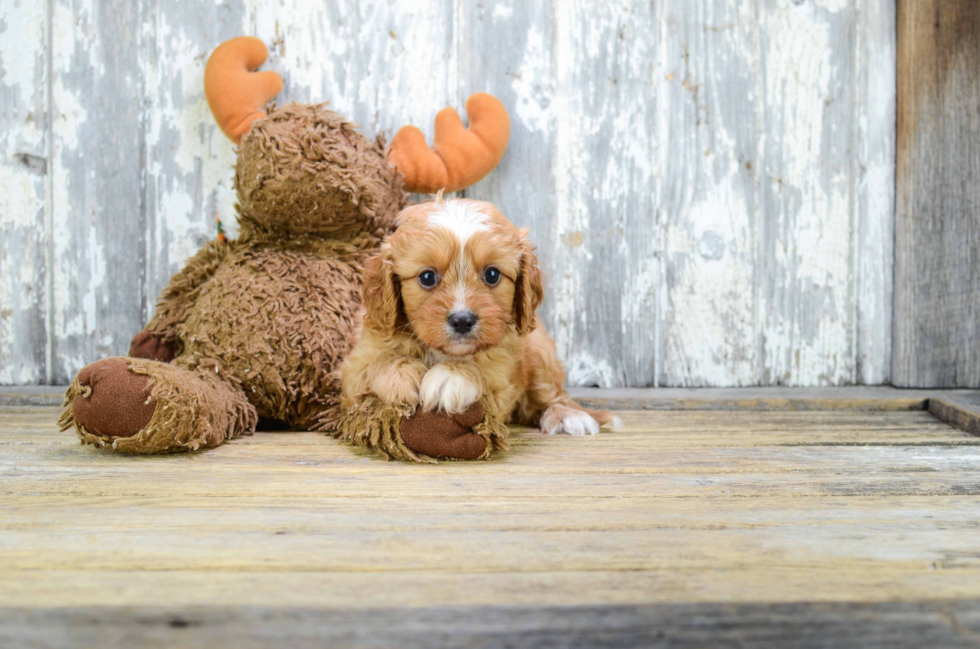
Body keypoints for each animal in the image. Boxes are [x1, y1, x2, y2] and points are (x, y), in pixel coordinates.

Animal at [344, 192, 616, 456]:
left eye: (492, 275)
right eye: (427, 277)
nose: (462, 321)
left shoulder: (502, 377)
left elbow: (480, 375)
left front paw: (449, 377)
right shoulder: (353, 369)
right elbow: (375, 364)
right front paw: (400, 376)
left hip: (540, 352)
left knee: (551, 395)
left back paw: (567, 415)